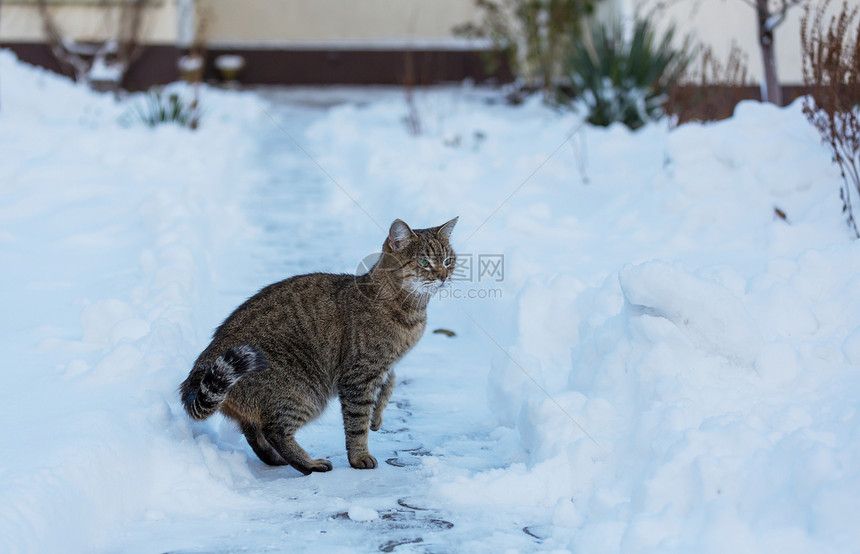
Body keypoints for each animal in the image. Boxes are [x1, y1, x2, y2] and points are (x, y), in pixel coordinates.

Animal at [177, 215, 454, 470]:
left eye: (448, 260)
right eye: (423, 262)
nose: (443, 276)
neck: (411, 311)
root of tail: (199, 368)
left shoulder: (384, 365)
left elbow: (390, 383)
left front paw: (377, 415)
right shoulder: (358, 374)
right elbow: (357, 423)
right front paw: (359, 456)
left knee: (254, 433)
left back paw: (278, 460)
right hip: (305, 392)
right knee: (274, 430)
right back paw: (309, 464)